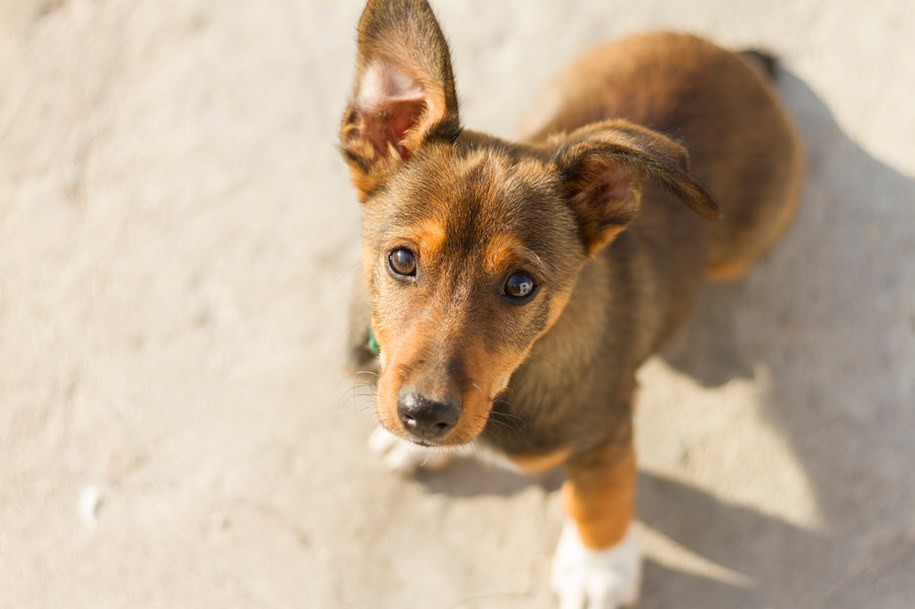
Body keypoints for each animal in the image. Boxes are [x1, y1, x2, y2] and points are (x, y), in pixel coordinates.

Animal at [340, 2, 804, 604]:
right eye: (400, 260)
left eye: (520, 286)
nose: (423, 414)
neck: (521, 373)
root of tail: (738, 64)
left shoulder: (604, 433)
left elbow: (598, 500)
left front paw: (597, 569)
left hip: (746, 244)